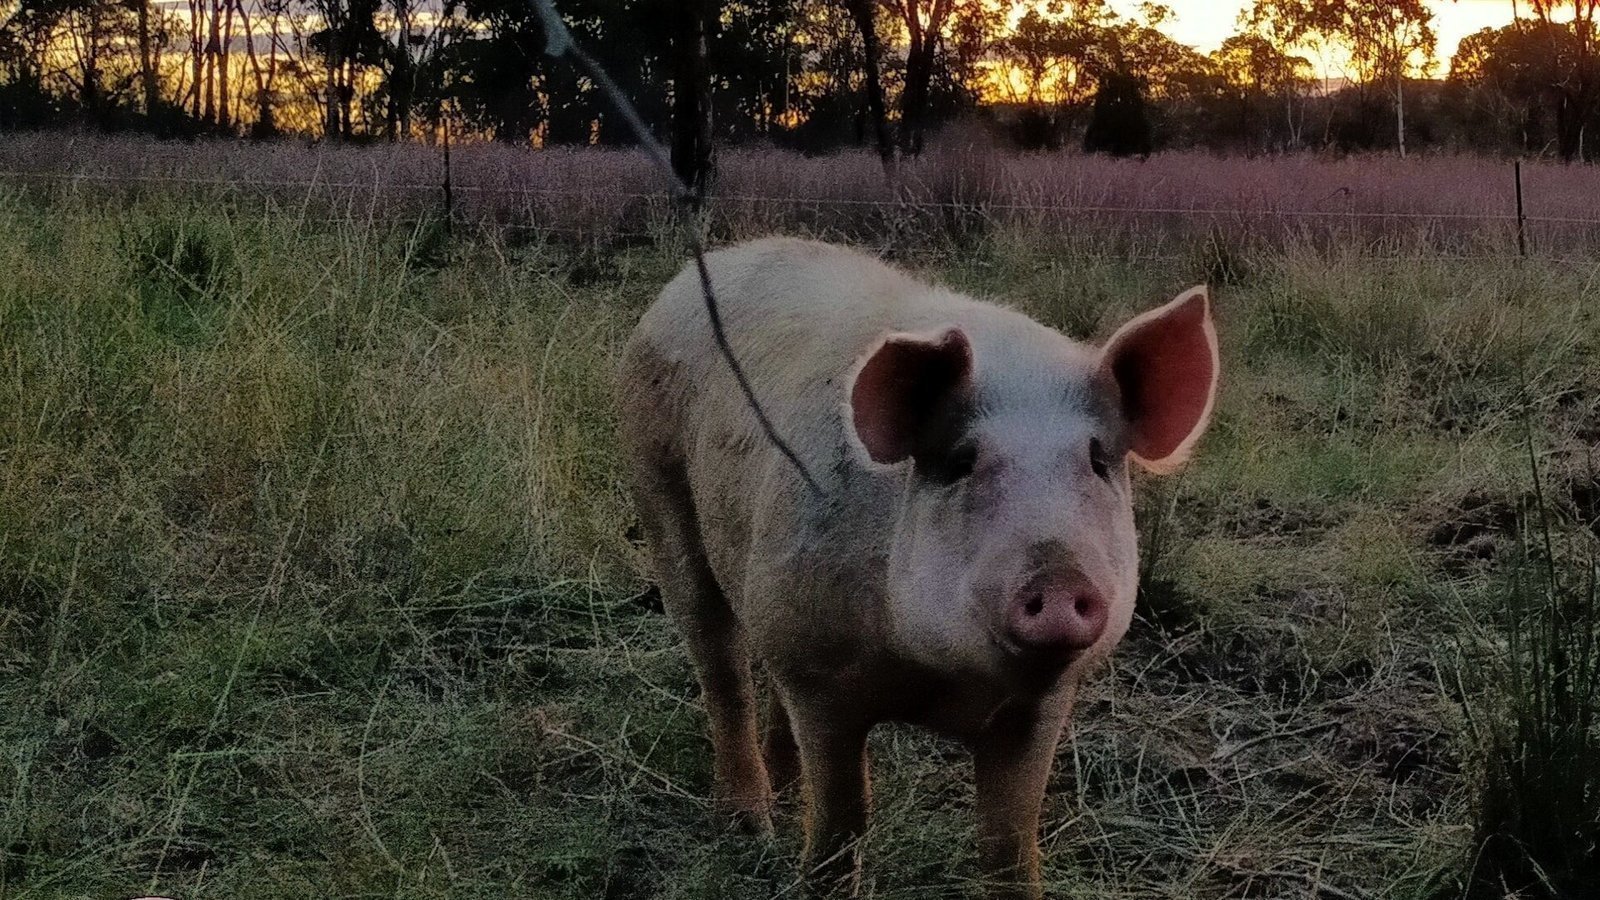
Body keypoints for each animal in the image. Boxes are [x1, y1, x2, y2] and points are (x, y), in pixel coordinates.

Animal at [616, 236, 1218, 898]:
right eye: (961, 461)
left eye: (1099, 462)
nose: (1059, 581)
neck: (937, 681)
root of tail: (703, 268)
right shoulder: (818, 670)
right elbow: (843, 821)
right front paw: (816, 875)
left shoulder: (1041, 709)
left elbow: (1010, 846)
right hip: (659, 485)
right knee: (720, 665)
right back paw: (751, 824)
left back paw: (786, 793)